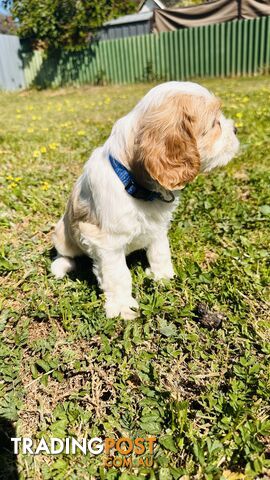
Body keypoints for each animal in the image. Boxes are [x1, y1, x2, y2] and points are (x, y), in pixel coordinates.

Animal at [51, 81, 239, 318]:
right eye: (215, 123)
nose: (236, 129)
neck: (132, 182)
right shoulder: (106, 241)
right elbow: (118, 274)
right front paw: (122, 306)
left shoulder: (157, 227)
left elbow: (160, 252)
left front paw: (163, 276)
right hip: (62, 230)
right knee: (65, 253)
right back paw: (61, 266)